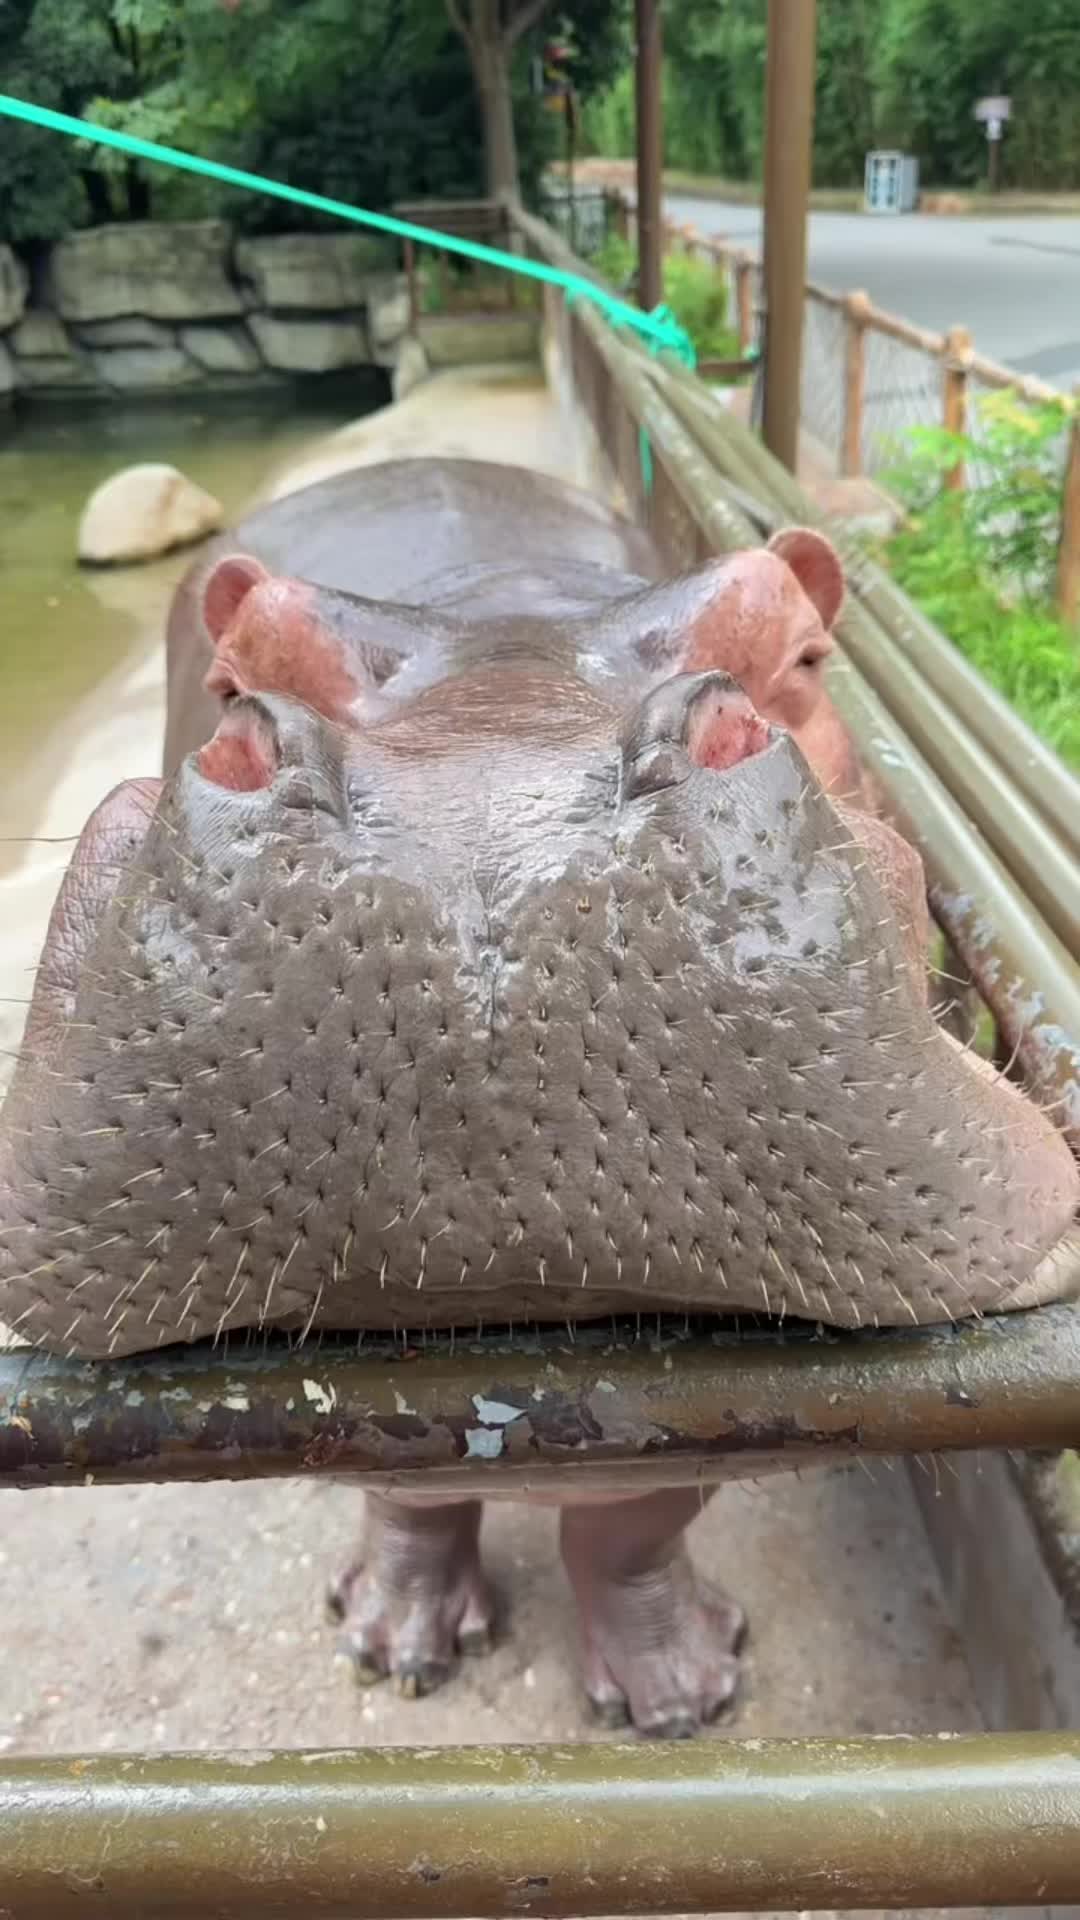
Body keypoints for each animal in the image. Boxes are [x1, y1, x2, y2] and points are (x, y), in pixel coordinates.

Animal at [2, 458, 1077, 1734]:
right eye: (233, 681)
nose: (473, 831)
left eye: (803, 655)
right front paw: (396, 1644)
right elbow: (408, 1493)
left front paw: (679, 1698)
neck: (510, 596)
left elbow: (634, 1523)